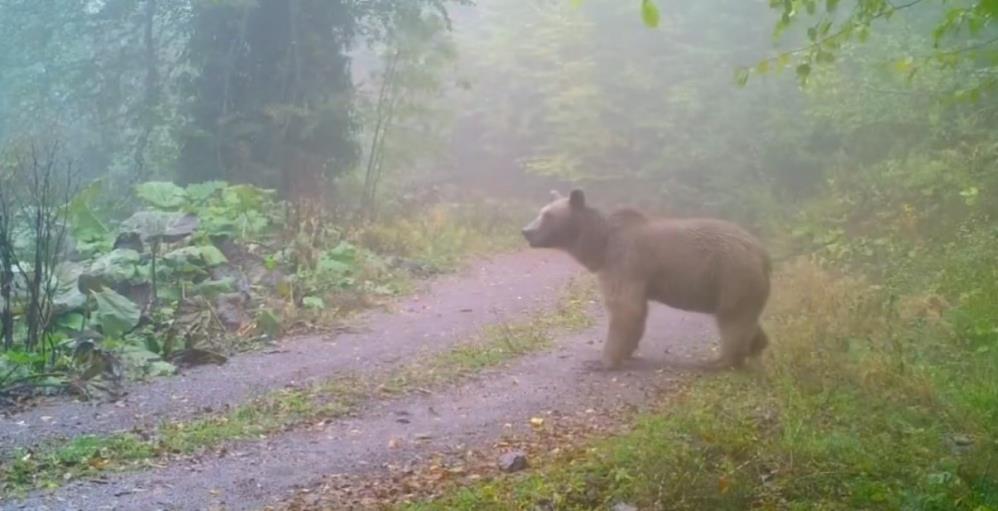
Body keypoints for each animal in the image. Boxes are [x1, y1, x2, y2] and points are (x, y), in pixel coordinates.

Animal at [524, 190, 772, 370]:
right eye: (540, 212)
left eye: (548, 215)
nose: (526, 231)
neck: (601, 245)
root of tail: (762, 252)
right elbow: (636, 312)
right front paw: (627, 352)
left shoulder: (624, 262)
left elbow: (624, 308)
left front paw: (601, 361)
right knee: (746, 318)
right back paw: (757, 347)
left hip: (732, 275)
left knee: (733, 319)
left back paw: (721, 361)